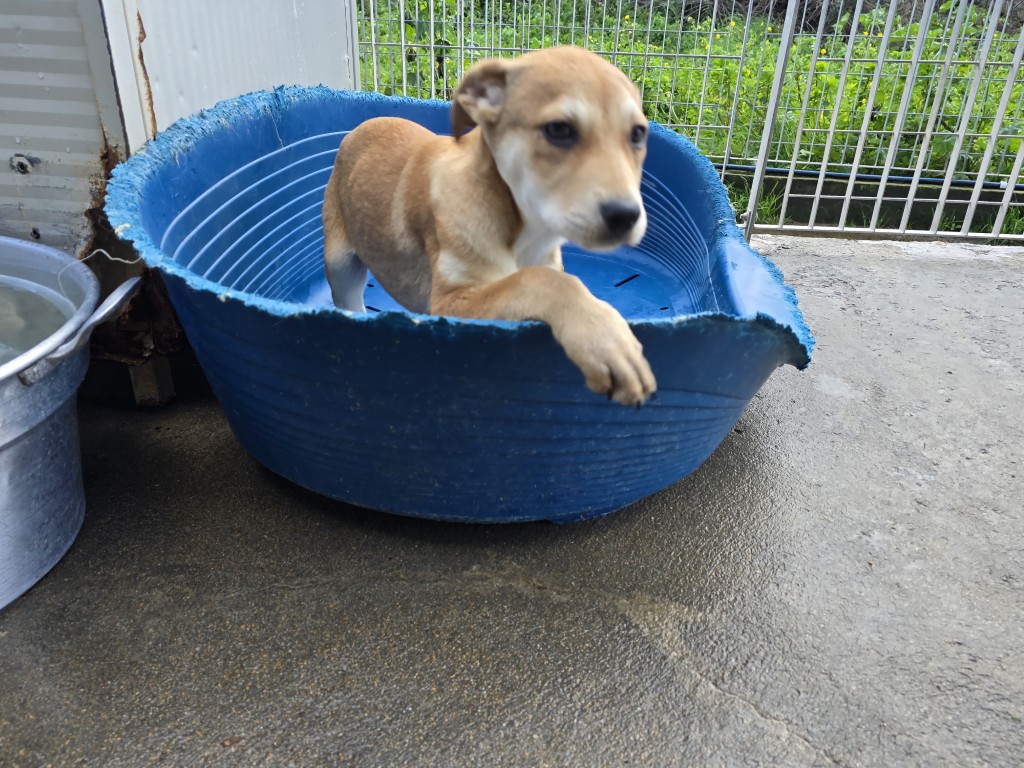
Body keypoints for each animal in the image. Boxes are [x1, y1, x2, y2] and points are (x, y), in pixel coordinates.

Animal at [322, 46, 656, 405]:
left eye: (638, 134)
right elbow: (539, 282)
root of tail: (358, 127)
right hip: (340, 265)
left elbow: (546, 277)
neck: (524, 233)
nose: (626, 216)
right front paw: (607, 341)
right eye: (558, 129)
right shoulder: (450, 304)